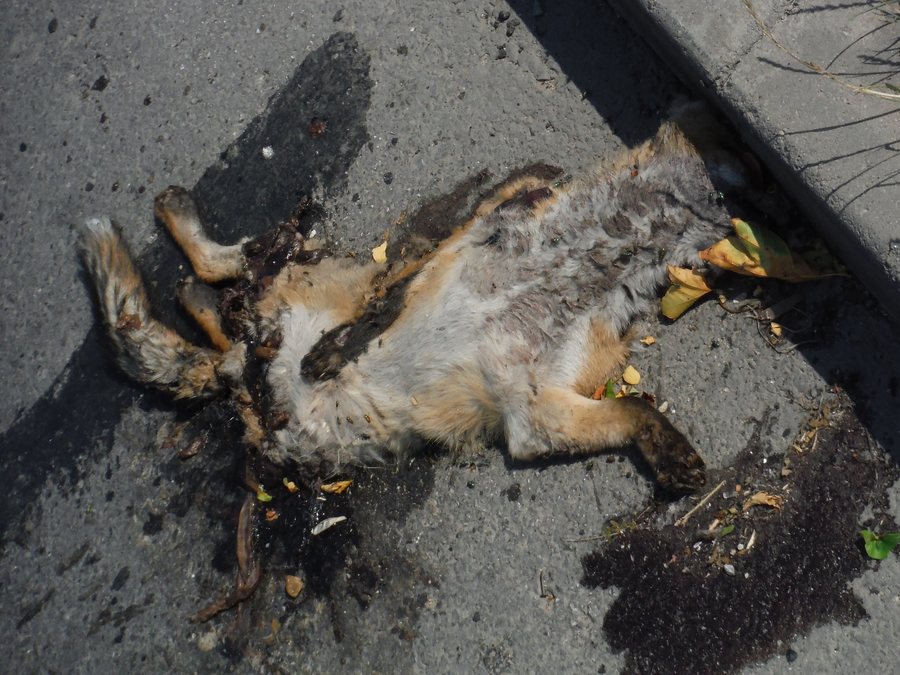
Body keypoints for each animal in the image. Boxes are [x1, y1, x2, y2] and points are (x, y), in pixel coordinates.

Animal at [81, 104, 755, 502]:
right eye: (729, 156)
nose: (745, 210)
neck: (570, 267)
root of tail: (245, 377)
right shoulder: (477, 230)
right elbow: (388, 304)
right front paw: (335, 352)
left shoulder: (536, 410)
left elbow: (635, 409)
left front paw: (671, 456)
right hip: (326, 269)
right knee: (234, 271)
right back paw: (180, 218)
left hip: (288, 382)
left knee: (218, 311)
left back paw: (204, 304)